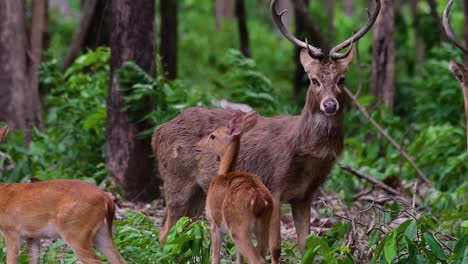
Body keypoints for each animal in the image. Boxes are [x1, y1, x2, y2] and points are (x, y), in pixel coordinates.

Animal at [0, 125, 125, 262]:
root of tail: (107, 199)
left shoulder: (11, 231)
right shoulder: (32, 237)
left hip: (75, 231)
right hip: (101, 232)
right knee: (119, 259)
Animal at [195, 110, 272, 264]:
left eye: (212, 136)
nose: (197, 145)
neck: (224, 172)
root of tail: (259, 201)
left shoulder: (213, 222)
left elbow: (215, 257)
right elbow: (239, 259)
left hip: (238, 228)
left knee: (258, 259)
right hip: (264, 225)